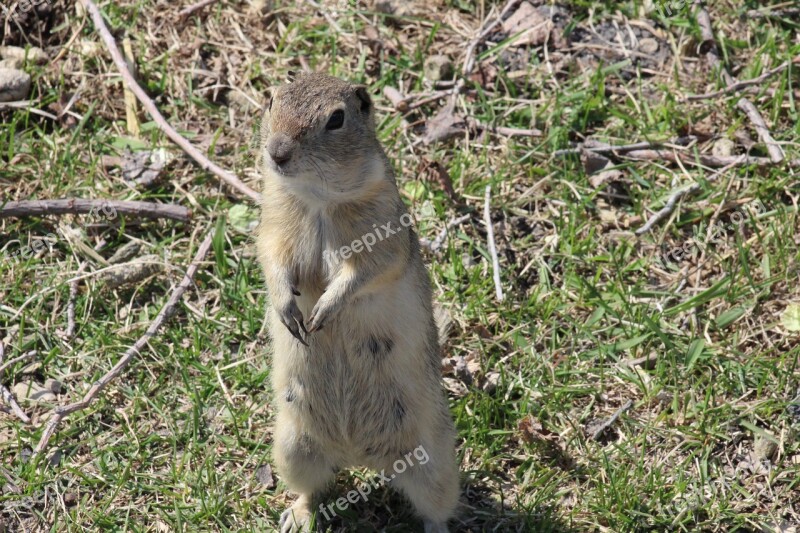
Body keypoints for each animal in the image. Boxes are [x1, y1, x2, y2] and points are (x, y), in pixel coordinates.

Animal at [255, 71, 456, 532]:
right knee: (311, 487)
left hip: (435, 462)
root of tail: (360, 457)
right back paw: (297, 516)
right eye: (272, 100)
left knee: (437, 509)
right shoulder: (273, 226)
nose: (277, 152)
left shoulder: (382, 237)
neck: (319, 198)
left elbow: (364, 272)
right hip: (293, 447)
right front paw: (288, 310)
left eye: (336, 119)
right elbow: (272, 260)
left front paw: (324, 311)